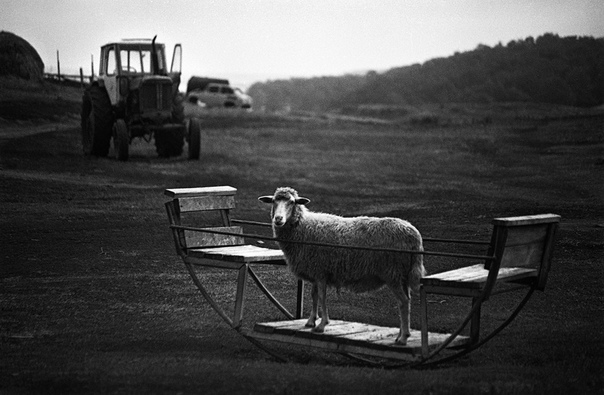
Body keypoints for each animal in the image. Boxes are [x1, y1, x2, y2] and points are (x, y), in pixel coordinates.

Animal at [260, 187, 424, 344]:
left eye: (292, 202)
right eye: (274, 201)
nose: (278, 219)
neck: (303, 226)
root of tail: (414, 235)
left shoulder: (321, 272)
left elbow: (322, 297)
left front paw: (322, 325)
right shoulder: (316, 271)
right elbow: (314, 295)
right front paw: (311, 321)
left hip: (392, 273)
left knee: (403, 302)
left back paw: (403, 338)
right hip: (403, 275)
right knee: (407, 300)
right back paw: (401, 335)